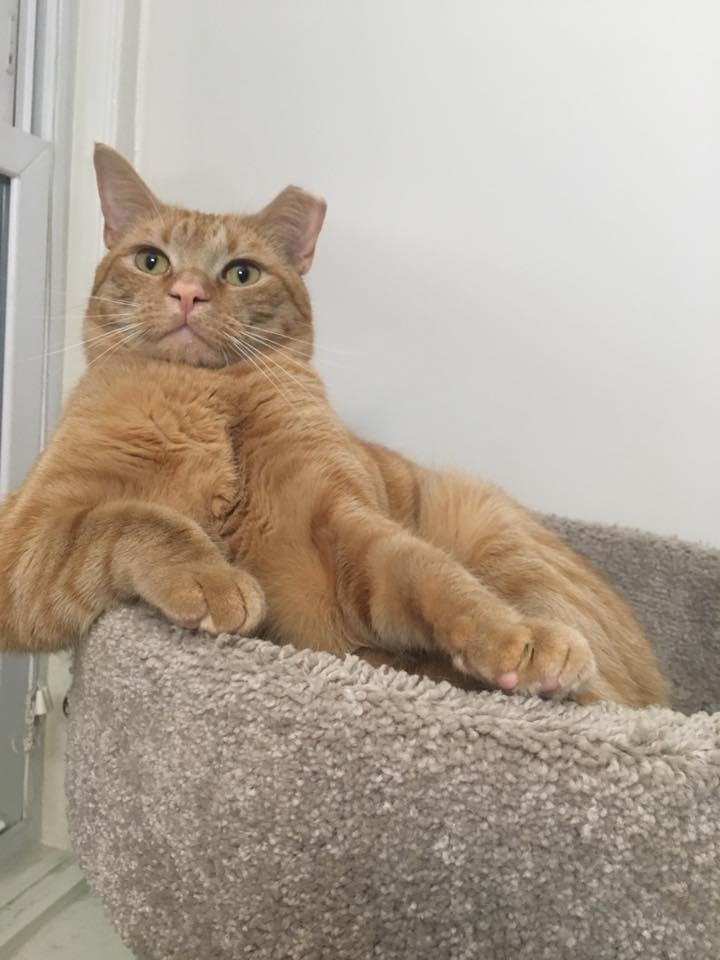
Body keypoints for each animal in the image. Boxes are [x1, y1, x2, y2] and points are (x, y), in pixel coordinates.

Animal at [0, 146, 668, 708]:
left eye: (242, 273)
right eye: (150, 260)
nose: (187, 292)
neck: (213, 400)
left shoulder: (343, 520)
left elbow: (434, 574)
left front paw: (514, 633)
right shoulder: (30, 536)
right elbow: (137, 517)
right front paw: (211, 575)